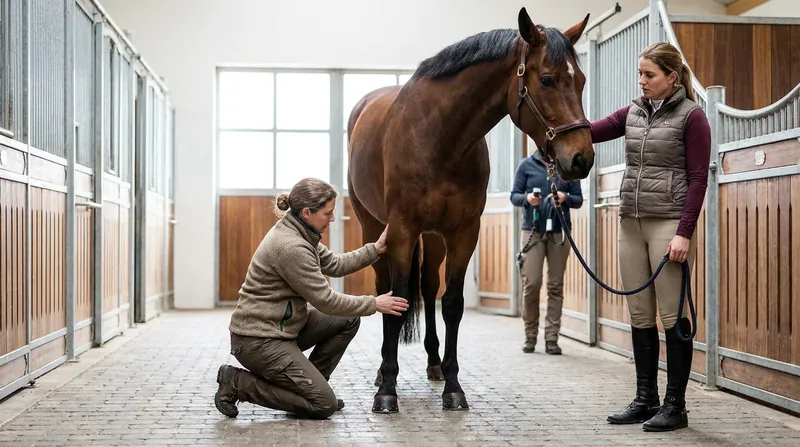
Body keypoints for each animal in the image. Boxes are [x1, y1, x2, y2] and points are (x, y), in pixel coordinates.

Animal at [346, 7, 594, 414]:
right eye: (547, 79)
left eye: (582, 80)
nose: (581, 159)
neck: (439, 137)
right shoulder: (401, 229)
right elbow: (397, 298)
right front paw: (387, 390)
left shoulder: (463, 232)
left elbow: (452, 304)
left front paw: (452, 385)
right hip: (374, 225)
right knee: (385, 288)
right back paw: (383, 373)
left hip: (432, 238)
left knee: (429, 288)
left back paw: (432, 363)